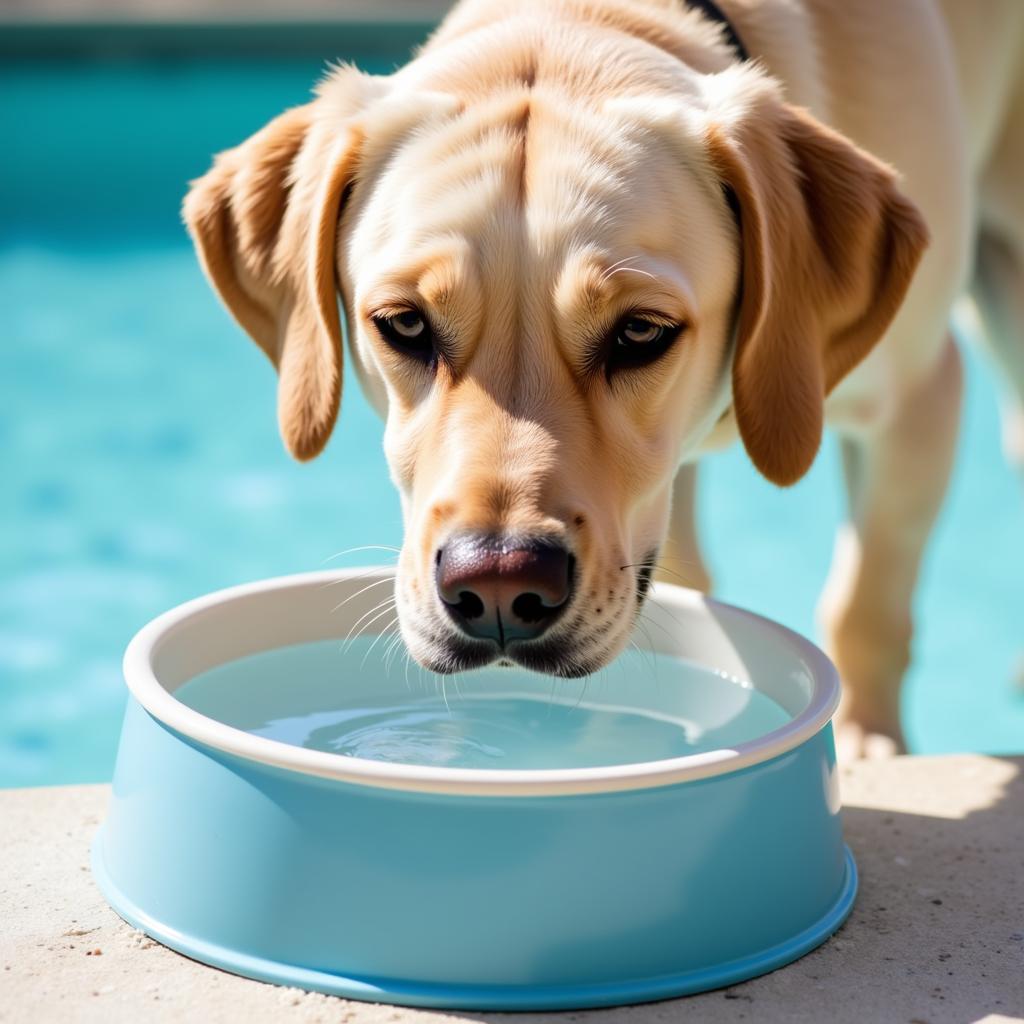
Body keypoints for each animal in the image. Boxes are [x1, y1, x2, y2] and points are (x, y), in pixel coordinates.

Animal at [184, 0, 1024, 753]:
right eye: (405, 324)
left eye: (640, 332)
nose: (497, 585)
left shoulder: (917, 399)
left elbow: (865, 602)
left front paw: (868, 743)